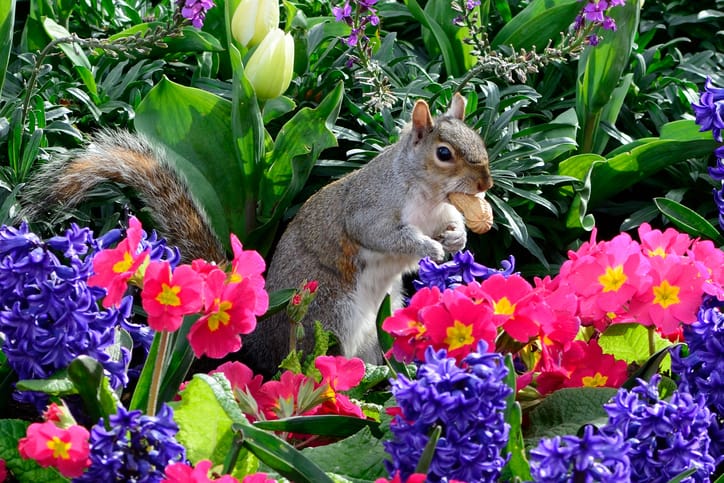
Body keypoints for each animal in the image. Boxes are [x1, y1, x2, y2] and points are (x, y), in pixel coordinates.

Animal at [19, 93, 493, 377]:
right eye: (444, 153)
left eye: (479, 140)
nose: (485, 184)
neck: (429, 194)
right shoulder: (371, 208)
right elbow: (383, 235)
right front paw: (427, 246)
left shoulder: (441, 210)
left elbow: (450, 225)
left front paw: (456, 239)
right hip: (327, 313)